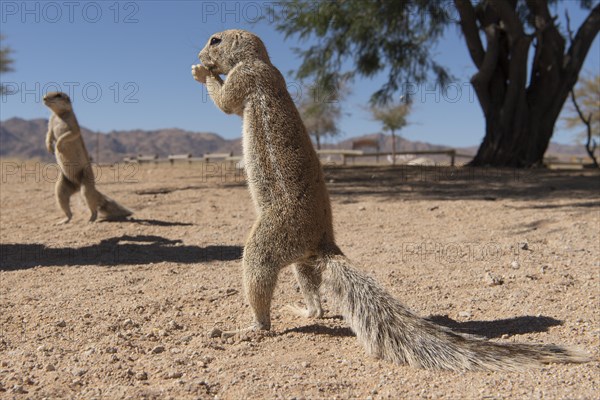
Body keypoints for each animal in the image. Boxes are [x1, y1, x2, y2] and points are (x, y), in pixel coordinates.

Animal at [42, 91, 132, 225]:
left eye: (58, 95)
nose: (44, 98)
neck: (59, 115)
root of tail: (77, 186)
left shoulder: (73, 125)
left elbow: (69, 134)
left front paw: (57, 145)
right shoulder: (50, 123)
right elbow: (48, 134)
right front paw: (49, 147)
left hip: (86, 182)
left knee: (92, 206)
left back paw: (91, 220)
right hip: (61, 187)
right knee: (65, 203)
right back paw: (63, 220)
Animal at [193, 29, 592, 370]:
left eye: (214, 40)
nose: (199, 55)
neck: (261, 60)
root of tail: (325, 243)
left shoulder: (247, 77)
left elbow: (227, 103)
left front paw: (201, 73)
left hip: (267, 240)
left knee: (261, 284)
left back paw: (249, 327)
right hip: (300, 259)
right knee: (316, 302)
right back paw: (302, 311)